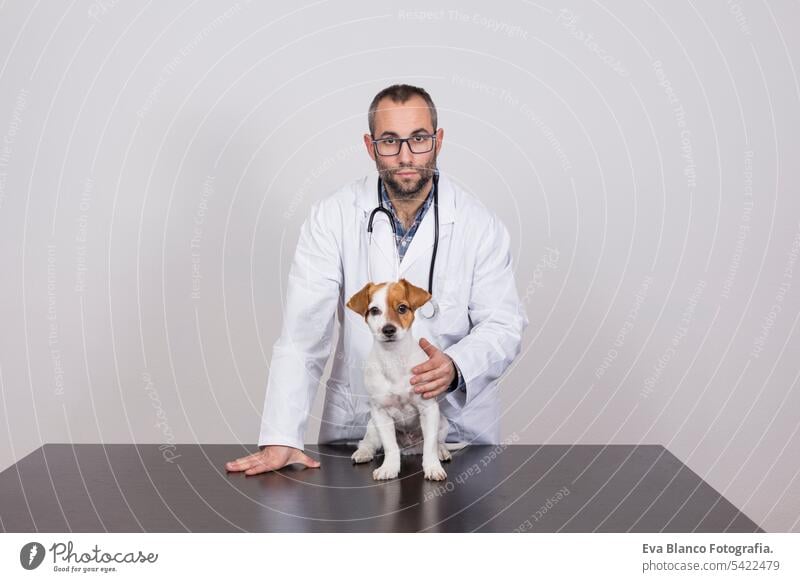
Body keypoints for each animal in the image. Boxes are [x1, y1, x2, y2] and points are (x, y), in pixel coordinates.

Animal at [346, 280, 454, 484]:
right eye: (374, 310)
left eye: (402, 308)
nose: (388, 329)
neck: (394, 359)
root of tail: (410, 448)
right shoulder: (380, 414)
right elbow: (390, 447)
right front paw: (389, 468)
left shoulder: (429, 409)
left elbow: (429, 446)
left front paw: (433, 467)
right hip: (372, 426)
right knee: (367, 442)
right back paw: (363, 453)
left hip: (442, 423)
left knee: (437, 442)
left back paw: (442, 450)